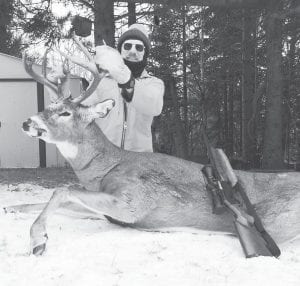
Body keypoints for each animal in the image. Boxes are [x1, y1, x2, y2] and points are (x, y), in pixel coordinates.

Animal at [3, 36, 298, 256]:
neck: (106, 167)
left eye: (65, 113)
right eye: (46, 106)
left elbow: (62, 190)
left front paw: (38, 240)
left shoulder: (133, 203)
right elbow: (43, 200)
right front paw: (9, 209)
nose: (27, 122)